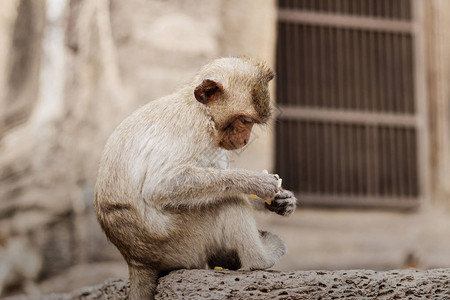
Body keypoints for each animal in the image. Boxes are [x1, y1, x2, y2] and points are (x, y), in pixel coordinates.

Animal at [94, 57, 298, 298]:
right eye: (245, 121)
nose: (245, 139)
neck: (202, 111)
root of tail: (136, 260)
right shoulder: (193, 129)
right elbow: (159, 186)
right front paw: (255, 182)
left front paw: (282, 201)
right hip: (179, 242)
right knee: (227, 201)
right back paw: (260, 260)